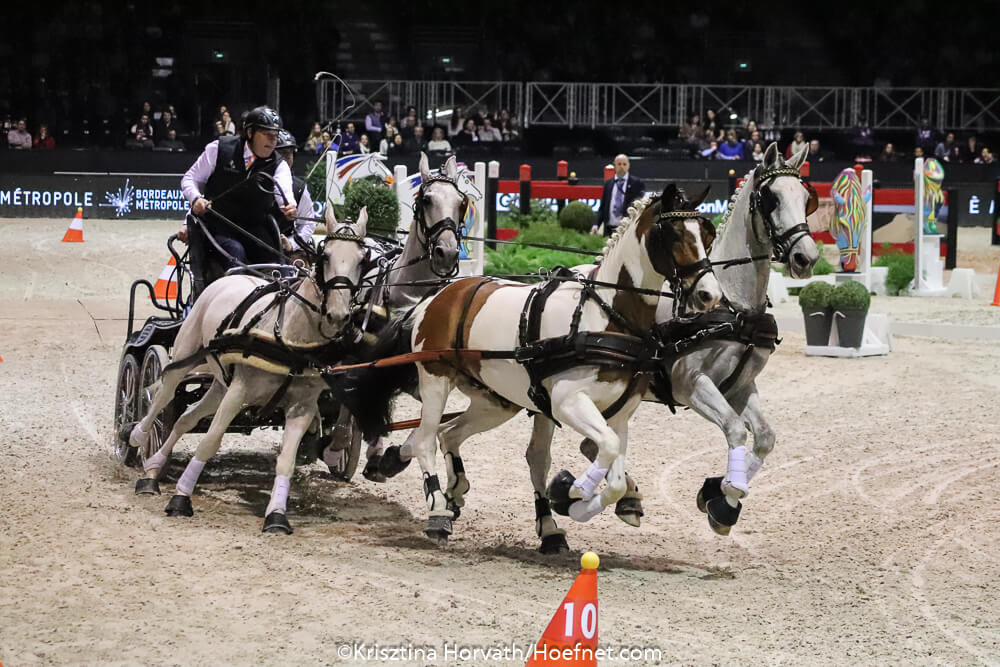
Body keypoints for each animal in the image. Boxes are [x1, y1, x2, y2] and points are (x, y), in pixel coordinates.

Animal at [127, 208, 369, 534]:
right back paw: (138, 438)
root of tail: (229, 278)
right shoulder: (239, 392)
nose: (338, 314)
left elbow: (286, 461)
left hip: (219, 385)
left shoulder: (302, 407)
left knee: (185, 418)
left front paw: (277, 515)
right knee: (163, 393)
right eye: (325, 255)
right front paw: (181, 499)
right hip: (187, 355)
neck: (290, 338)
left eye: (362, 259)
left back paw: (153, 469)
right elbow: (210, 442)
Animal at [345, 184, 723, 548]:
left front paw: (575, 504)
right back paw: (438, 509)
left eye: (707, 235)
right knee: (425, 439)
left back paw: (453, 489)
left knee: (448, 433)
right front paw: (574, 490)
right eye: (674, 234)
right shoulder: (568, 402)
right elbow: (603, 450)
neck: (605, 316)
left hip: (495, 402)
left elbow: (614, 475)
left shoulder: (619, 415)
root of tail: (437, 297)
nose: (709, 295)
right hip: (435, 380)